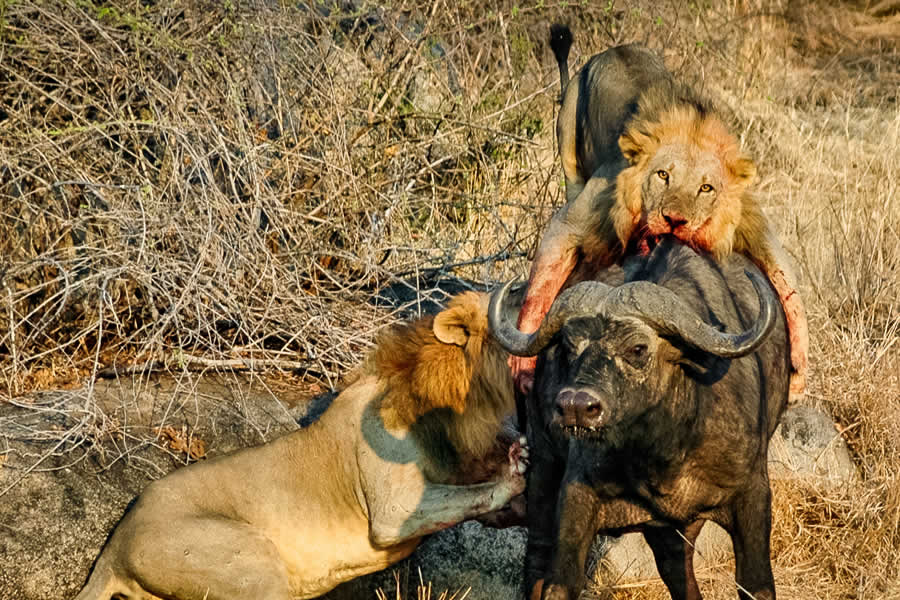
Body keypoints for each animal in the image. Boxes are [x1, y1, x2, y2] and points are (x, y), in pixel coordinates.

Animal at [79, 292, 528, 600]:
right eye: (515, 296)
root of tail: (114, 547)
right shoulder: (391, 510)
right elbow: (470, 495)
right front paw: (515, 471)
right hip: (251, 565)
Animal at [488, 239, 792, 600]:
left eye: (637, 348)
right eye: (569, 346)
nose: (575, 405)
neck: (665, 448)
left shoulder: (752, 495)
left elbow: (756, 586)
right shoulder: (577, 492)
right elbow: (559, 584)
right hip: (544, 470)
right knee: (537, 555)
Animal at [512, 25, 808, 406]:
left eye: (706, 188)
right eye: (662, 175)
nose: (675, 220)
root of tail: (608, 52)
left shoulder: (747, 226)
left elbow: (787, 282)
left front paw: (798, 375)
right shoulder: (578, 217)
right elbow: (538, 291)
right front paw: (523, 368)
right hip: (570, 160)